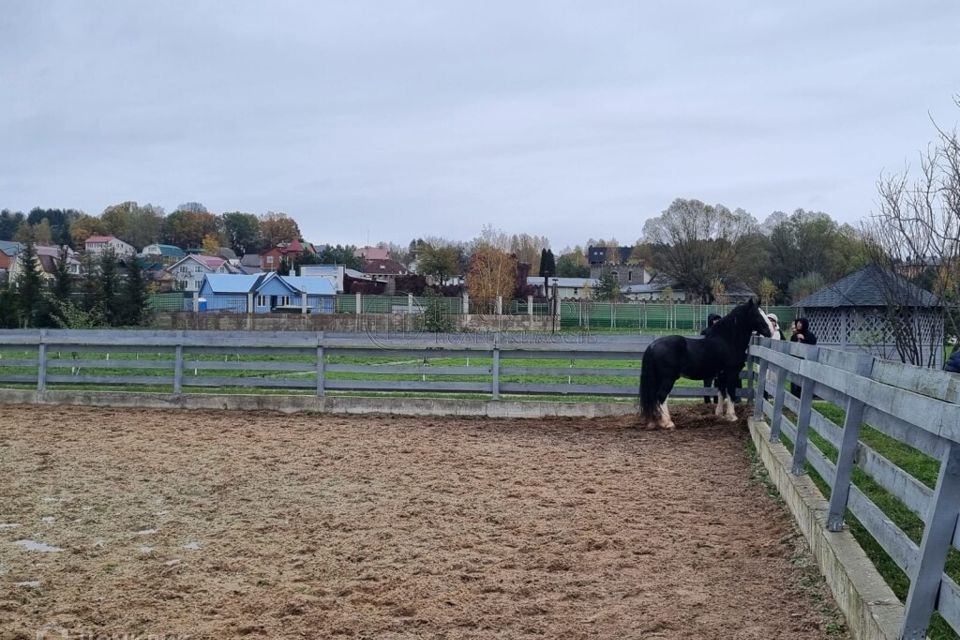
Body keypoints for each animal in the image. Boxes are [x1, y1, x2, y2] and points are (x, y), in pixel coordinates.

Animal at [636, 300, 772, 430]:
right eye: (756, 314)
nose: (770, 331)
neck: (727, 341)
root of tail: (652, 346)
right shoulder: (731, 373)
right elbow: (731, 393)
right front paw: (732, 416)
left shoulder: (721, 375)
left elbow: (721, 393)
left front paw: (720, 414)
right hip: (668, 379)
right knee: (661, 396)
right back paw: (667, 423)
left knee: (653, 397)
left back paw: (654, 422)